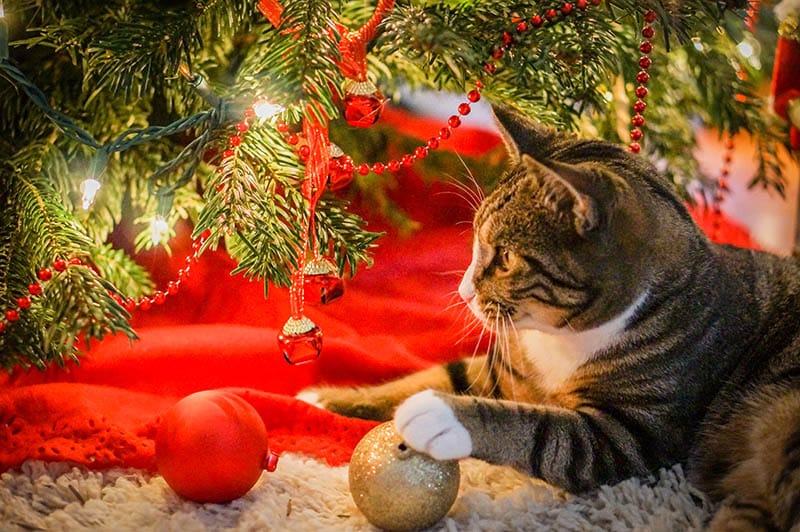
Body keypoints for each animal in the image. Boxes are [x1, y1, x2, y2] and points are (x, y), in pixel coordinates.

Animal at [304, 106, 800, 528]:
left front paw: (441, 416)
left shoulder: (630, 435)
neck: (561, 339)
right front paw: (326, 399)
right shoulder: (506, 369)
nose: (464, 291)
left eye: (505, 257)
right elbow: (433, 375)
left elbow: (540, 430)